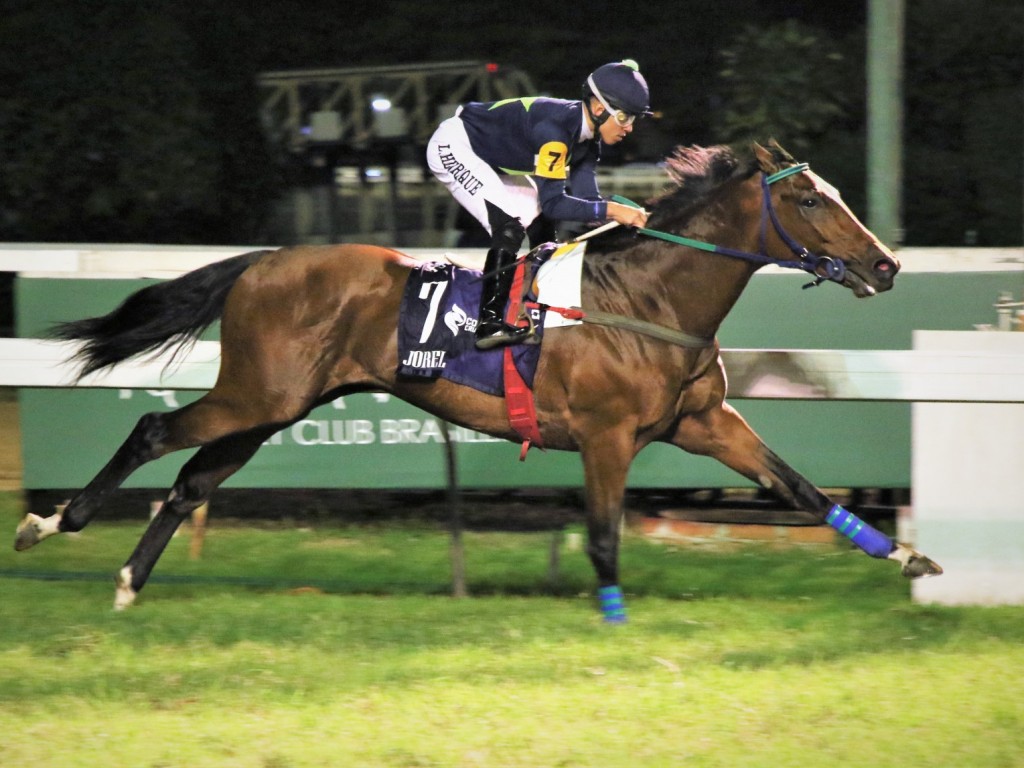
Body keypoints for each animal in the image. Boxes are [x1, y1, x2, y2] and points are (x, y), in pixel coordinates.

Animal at [14, 140, 942, 618]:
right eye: (812, 201)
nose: (887, 264)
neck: (645, 298)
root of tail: (262, 261)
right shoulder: (606, 437)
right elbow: (603, 536)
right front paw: (614, 616)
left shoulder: (703, 423)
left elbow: (801, 488)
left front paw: (906, 556)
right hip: (257, 394)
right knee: (153, 434)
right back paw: (50, 523)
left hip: (275, 407)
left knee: (193, 480)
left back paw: (131, 581)